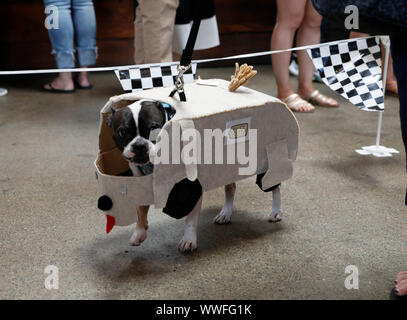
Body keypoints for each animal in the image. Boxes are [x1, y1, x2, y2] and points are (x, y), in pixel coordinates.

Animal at [107, 99, 282, 251]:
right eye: (122, 131)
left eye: (154, 128)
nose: (140, 145)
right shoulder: (139, 181)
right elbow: (141, 209)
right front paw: (139, 232)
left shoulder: (191, 187)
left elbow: (190, 217)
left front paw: (189, 239)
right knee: (230, 186)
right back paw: (225, 213)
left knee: (274, 183)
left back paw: (276, 211)